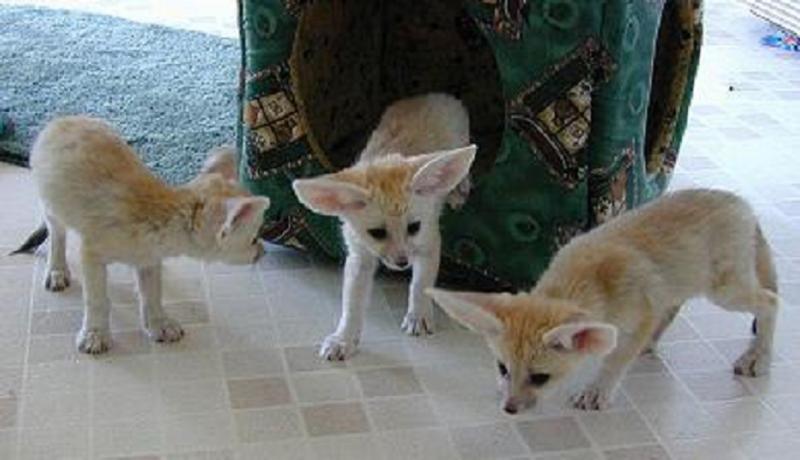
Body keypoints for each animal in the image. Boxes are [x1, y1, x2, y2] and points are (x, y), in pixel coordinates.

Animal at [14, 116, 270, 354]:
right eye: (254, 240)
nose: (263, 253)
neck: (162, 214)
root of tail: (62, 118)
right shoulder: (92, 255)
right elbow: (97, 300)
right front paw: (95, 334)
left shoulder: (149, 260)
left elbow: (153, 294)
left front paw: (159, 324)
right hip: (53, 207)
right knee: (57, 236)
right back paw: (57, 270)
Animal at [292, 93, 476, 360]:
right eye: (377, 233)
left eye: (414, 227)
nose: (402, 263)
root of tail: (431, 95)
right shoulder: (359, 254)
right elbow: (351, 303)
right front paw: (343, 338)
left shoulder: (429, 241)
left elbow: (421, 283)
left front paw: (418, 315)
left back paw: (459, 189)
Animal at [427, 189, 779, 412]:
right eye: (502, 368)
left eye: (540, 378)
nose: (509, 410)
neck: (587, 280)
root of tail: (742, 204)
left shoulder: (641, 314)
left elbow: (615, 360)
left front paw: (597, 391)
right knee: (673, 304)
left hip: (726, 291)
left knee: (771, 301)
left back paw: (757, 356)